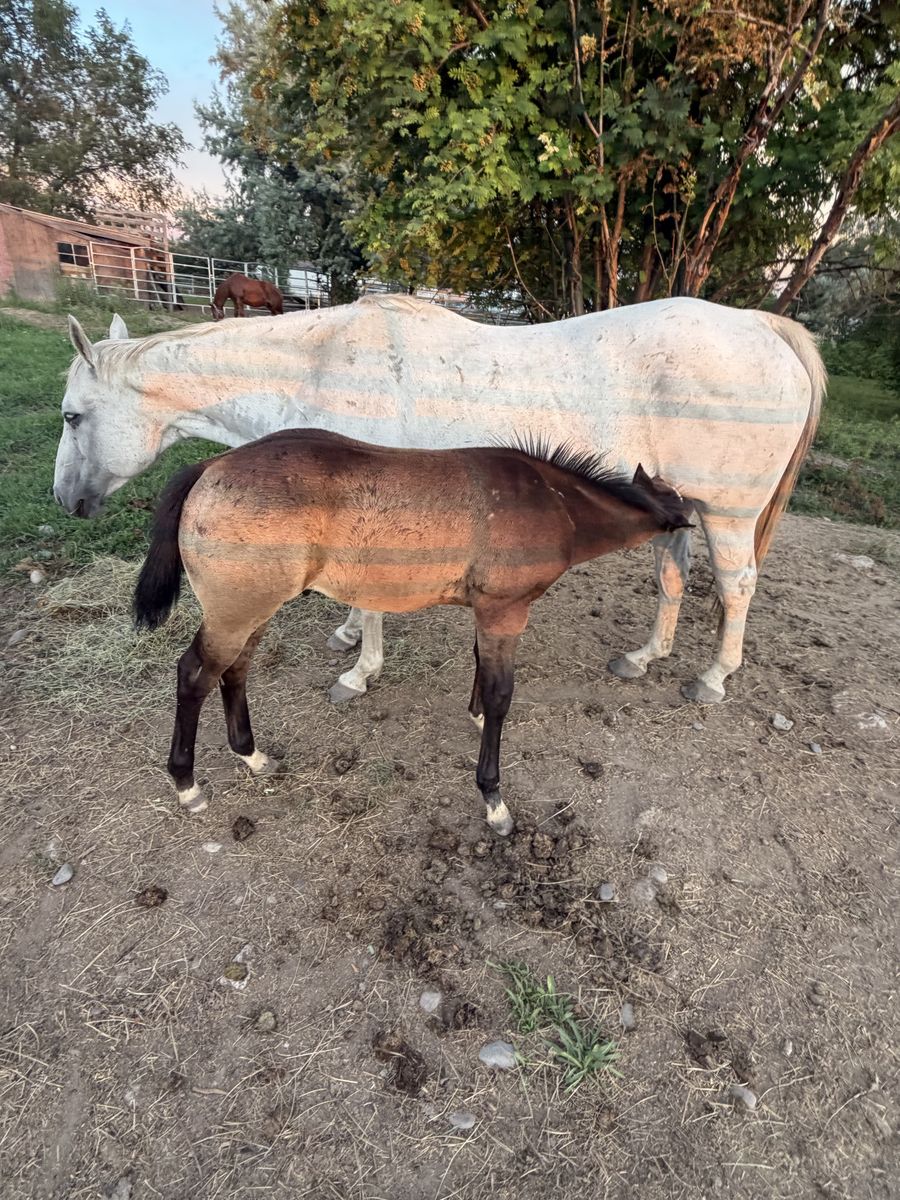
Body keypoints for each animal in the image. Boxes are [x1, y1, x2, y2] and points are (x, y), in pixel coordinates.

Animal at [55, 294, 825, 706]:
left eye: (72, 416)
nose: (65, 500)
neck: (322, 365)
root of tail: (762, 326)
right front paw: (347, 640)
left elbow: (368, 607)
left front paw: (357, 672)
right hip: (681, 506)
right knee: (673, 577)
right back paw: (644, 657)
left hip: (728, 514)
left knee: (736, 587)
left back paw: (713, 677)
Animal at [133, 429, 694, 832]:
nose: (682, 564)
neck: (553, 500)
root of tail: (210, 467)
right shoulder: (506, 611)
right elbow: (501, 694)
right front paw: (493, 798)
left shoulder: (486, 613)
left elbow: (480, 668)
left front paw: (472, 715)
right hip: (236, 611)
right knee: (195, 675)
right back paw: (186, 784)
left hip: (254, 609)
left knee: (235, 672)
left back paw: (251, 755)